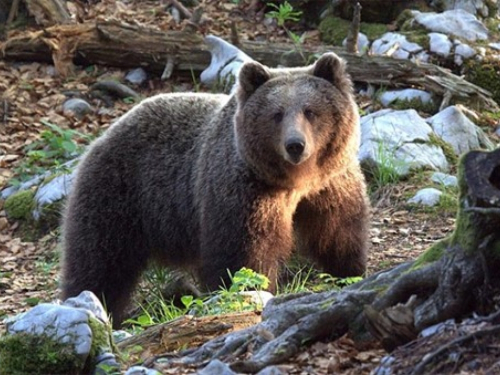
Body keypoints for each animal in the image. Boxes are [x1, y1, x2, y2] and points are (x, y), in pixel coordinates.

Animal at [60, 52, 370, 326]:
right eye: (277, 114)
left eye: (310, 111)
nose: (295, 145)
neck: (295, 182)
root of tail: (102, 135)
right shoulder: (245, 191)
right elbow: (244, 255)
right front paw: (250, 291)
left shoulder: (330, 186)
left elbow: (338, 231)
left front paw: (350, 272)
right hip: (119, 195)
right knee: (99, 262)